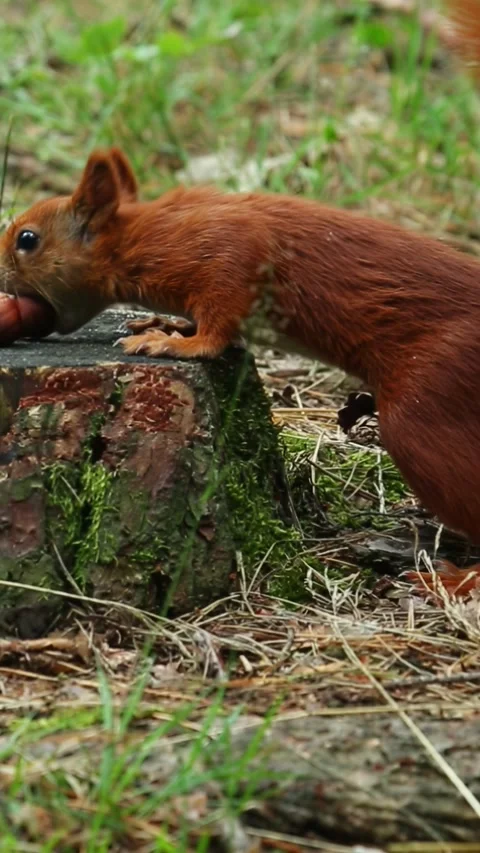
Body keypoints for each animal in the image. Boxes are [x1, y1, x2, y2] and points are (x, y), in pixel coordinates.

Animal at [1, 1, 480, 598]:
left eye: (27, 239)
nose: (1, 280)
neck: (143, 235)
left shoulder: (226, 258)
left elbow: (218, 325)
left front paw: (174, 344)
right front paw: (158, 324)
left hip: (425, 407)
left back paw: (455, 578)